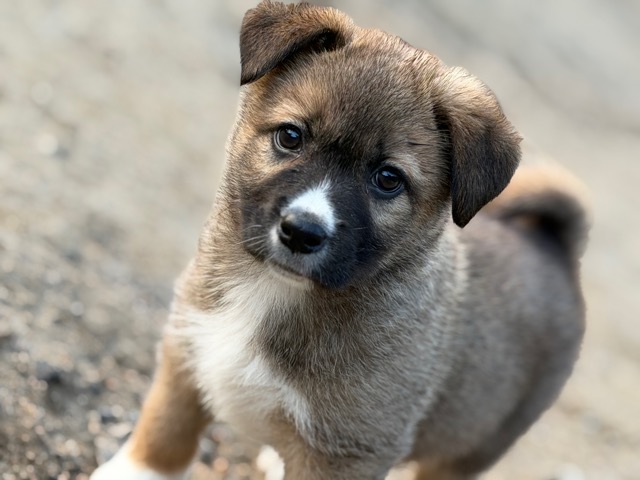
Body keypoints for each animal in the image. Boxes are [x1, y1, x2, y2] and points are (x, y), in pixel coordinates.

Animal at [90, 2, 589, 479]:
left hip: (474, 443)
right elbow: (166, 429)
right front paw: (133, 472)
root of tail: (552, 245)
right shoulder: (189, 345)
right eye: (290, 136)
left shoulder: (347, 450)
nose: (301, 231)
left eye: (388, 179)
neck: (272, 292)